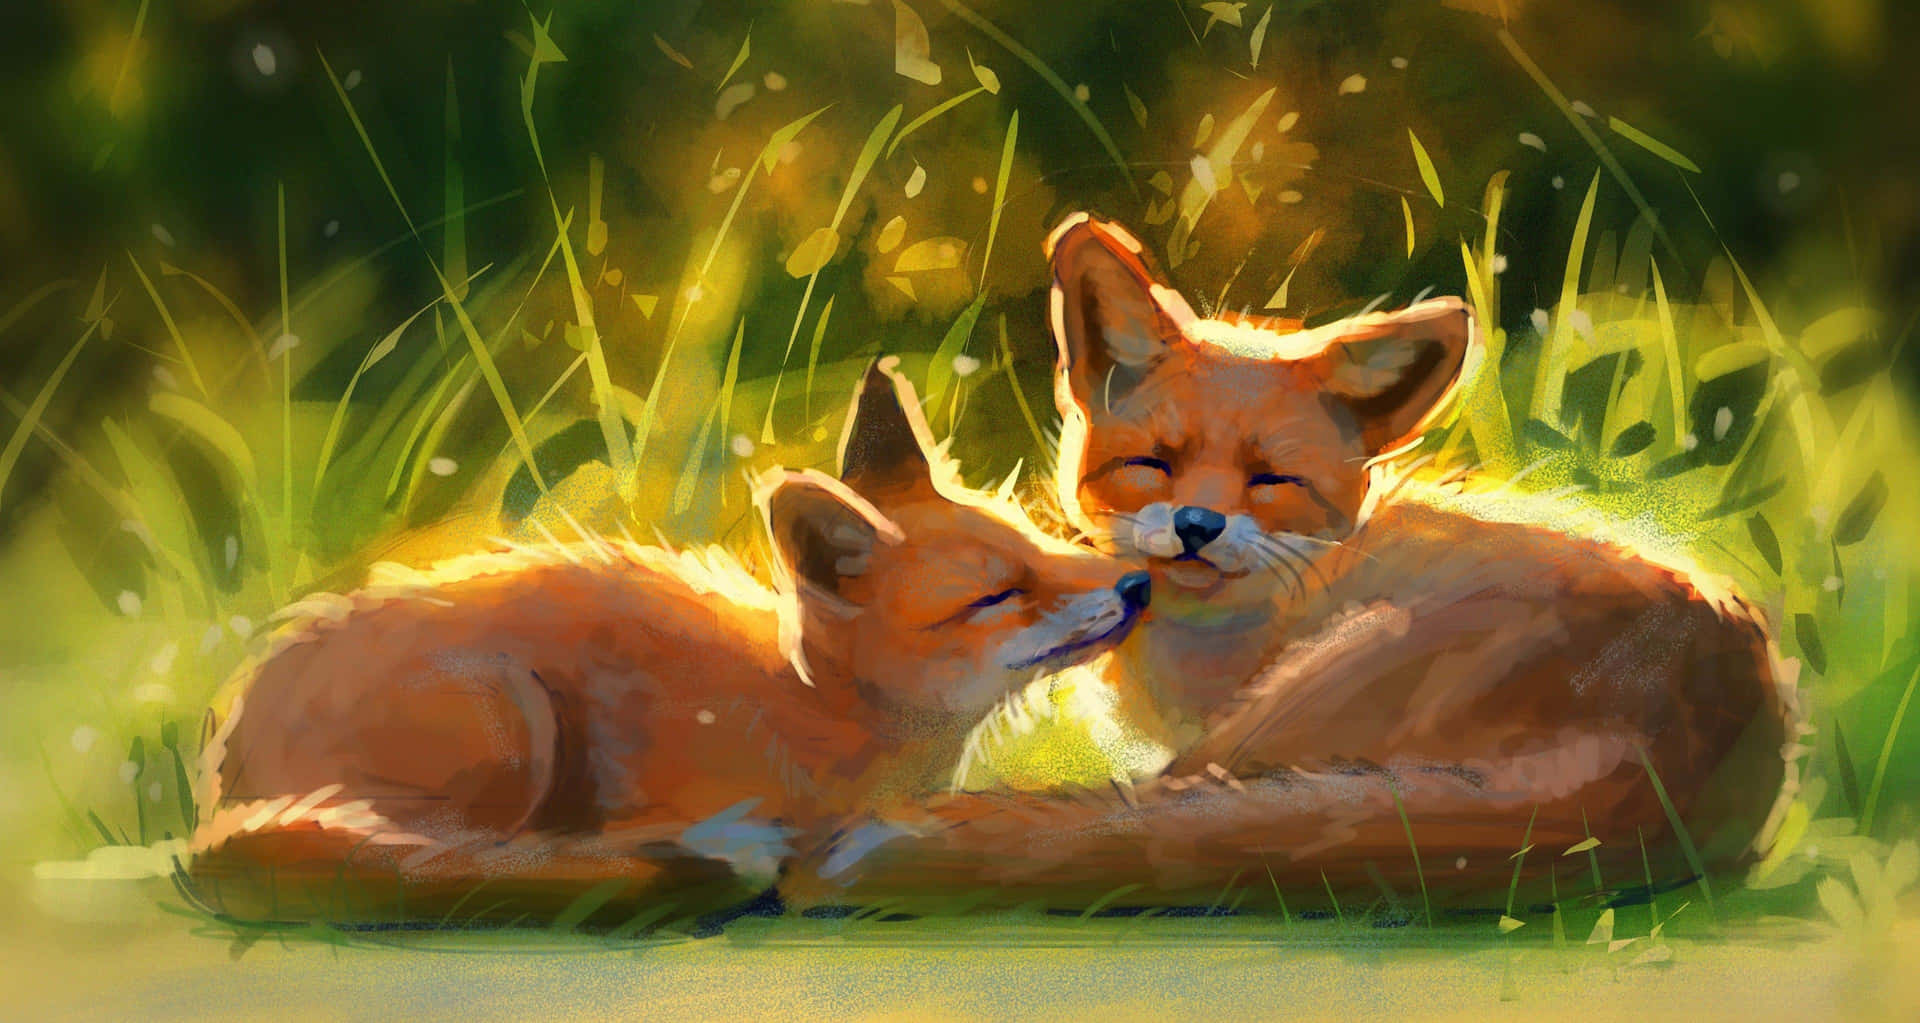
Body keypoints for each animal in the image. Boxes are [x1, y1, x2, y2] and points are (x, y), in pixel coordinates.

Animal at [186, 358, 1151, 925]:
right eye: (998, 594)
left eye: (1044, 546)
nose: (1137, 584)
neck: (811, 713)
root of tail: (218, 779)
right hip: (514, 720)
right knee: (458, 861)